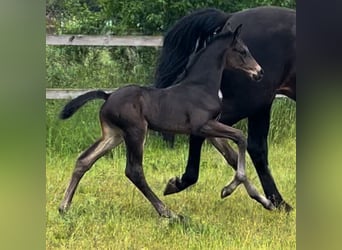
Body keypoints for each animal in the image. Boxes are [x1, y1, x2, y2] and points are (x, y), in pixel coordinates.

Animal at [58, 23, 272, 219]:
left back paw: (63, 207)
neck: (201, 87)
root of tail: (107, 96)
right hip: (136, 132)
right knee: (134, 171)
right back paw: (168, 212)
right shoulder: (202, 126)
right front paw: (228, 190)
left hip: (113, 135)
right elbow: (241, 137)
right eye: (242, 51)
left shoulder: (211, 131)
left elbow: (233, 157)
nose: (260, 72)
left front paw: (265, 201)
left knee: (84, 160)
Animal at [156, 6, 296, 211]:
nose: (259, 71)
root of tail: (229, 17)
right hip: (254, 101)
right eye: (243, 52)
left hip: (256, 104)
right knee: (251, 145)